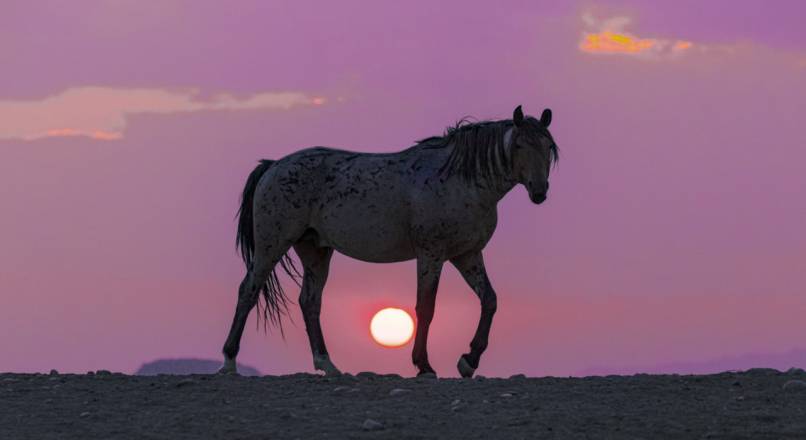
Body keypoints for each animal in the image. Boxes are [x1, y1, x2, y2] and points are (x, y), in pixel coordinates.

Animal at [221, 105, 560, 376]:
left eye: (548, 146)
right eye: (519, 144)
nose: (539, 191)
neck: (461, 180)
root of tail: (273, 165)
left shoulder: (467, 255)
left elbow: (489, 300)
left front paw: (469, 360)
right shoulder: (431, 254)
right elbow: (426, 307)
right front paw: (424, 365)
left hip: (316, 251)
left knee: (310, 301)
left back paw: (328, 365)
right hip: (272, 246)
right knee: (248, 291)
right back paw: (229, 362)